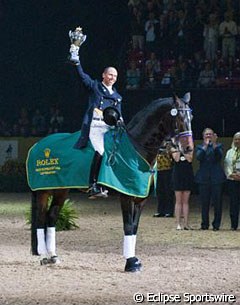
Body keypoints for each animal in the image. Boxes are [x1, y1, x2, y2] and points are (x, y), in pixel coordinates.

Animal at [28, 92, 193, 268]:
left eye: (191, 117)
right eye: (179, 118)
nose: (188, 149)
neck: (135, 147)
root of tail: (38, 144)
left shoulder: (141, 199)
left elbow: (134, 227)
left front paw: (134, 259)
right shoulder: (126, 196)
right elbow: (128, 226)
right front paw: (130, 262)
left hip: (61, 190)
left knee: (51, 217)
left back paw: (52, 256)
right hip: (43, 191)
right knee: (40, 219)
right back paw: (43, 254)